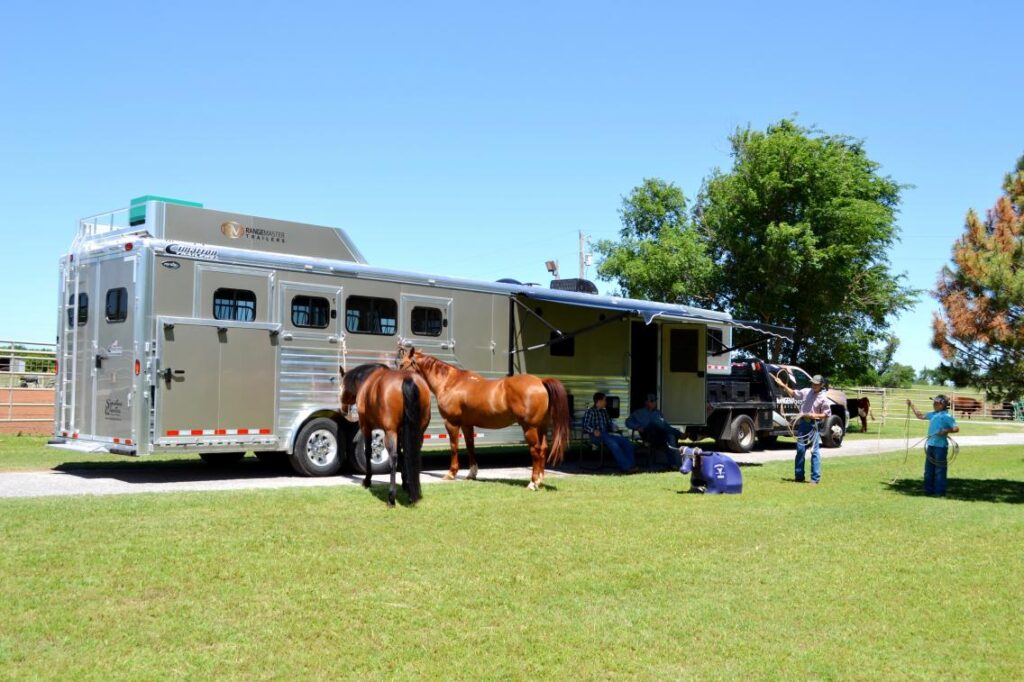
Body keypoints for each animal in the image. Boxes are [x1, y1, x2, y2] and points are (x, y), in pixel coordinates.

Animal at [339, 360, 428, 503]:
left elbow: (368, 452)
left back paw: (391, 497)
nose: (342, 410)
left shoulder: (366, 427)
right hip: (419, 430)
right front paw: (405, 483)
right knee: (413, 454)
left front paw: (367, 480)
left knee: (393, 457)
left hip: (389, 432)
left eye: (341, 387)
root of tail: (408, 379)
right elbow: (403, 454)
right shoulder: (400, 431)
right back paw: (414, 493)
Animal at [395, 342, 573, 485]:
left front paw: (451, 474)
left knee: (535, 450)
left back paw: (533, 483)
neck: (450, 382)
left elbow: (454, 446)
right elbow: (470, 446)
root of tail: (540, 382)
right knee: (543, 449)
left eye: (402, 364)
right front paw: (471, 474)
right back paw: (540, 479)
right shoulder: (467, 424)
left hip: (529, 427)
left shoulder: (451, 422)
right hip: (541, 426)